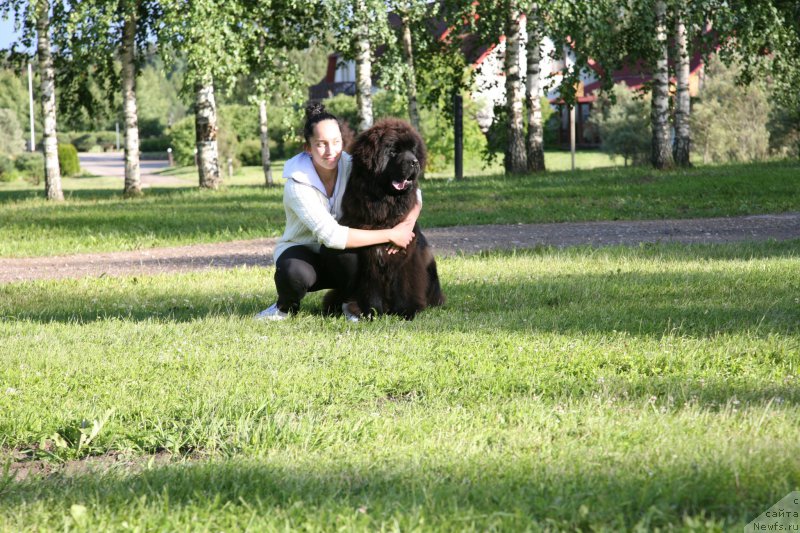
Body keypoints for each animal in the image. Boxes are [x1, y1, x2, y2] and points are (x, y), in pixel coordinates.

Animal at [326, 118, 450, 318]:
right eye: (393, 151)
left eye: (413, 150)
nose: (414, 162)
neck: (384, 208)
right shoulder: (369, 259)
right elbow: (371, 289)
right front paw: (372, 312)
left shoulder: (406, 255)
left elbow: (405, 285)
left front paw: (406, 311)